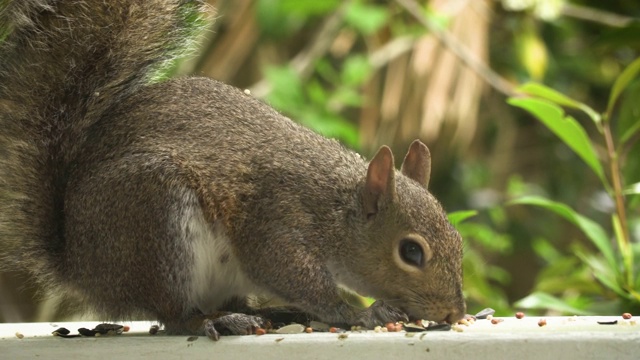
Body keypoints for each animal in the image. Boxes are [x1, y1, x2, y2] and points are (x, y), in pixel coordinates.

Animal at [0, 0, 464, 338]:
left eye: (458, 240)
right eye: (411, 252)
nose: (452, 313)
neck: (335, 206)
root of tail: (81, 265)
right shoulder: (278, 220)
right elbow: (290, 273)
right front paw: (358, 313)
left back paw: (271, 314)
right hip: (155, 221)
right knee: (174, 315)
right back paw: (217, 321)